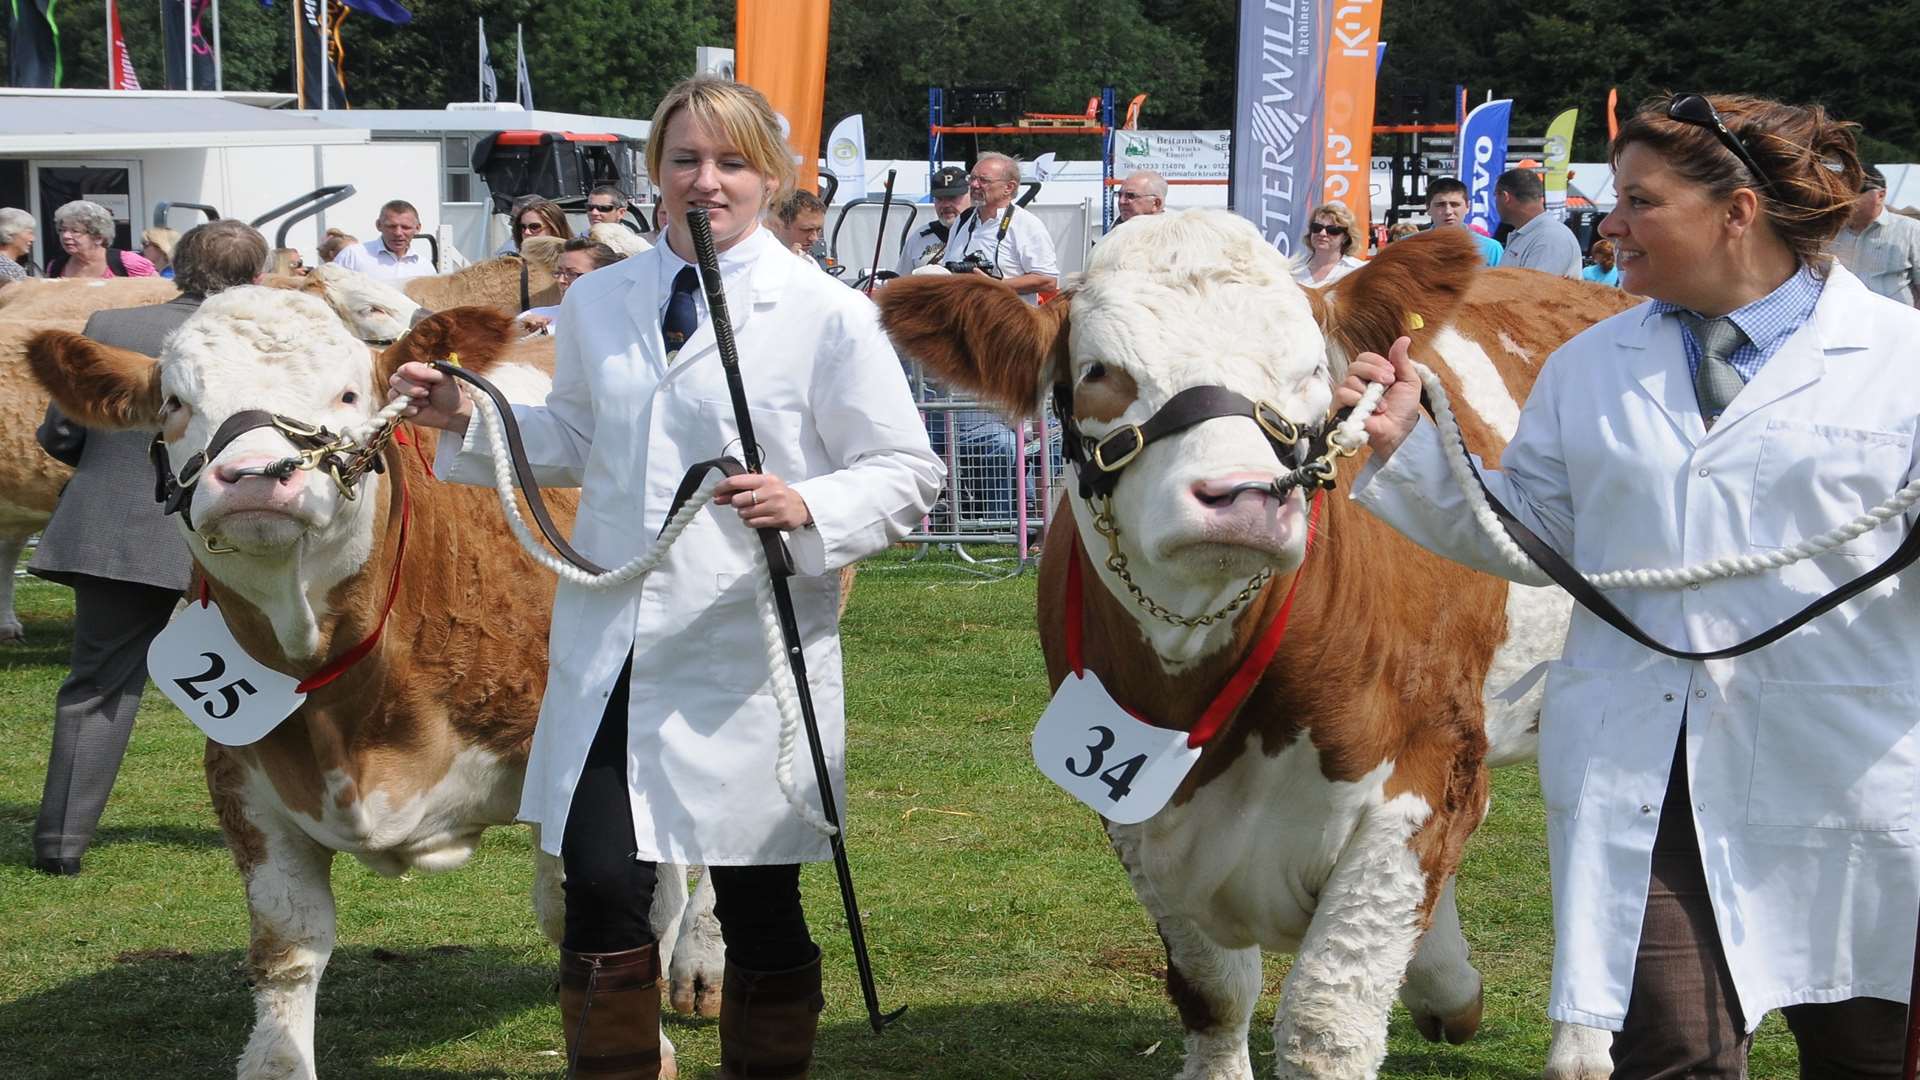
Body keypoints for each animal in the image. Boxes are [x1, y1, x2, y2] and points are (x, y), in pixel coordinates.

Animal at [28, 290, 721, 1068]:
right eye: (175, 403)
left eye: (349, 393)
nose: (254, 475)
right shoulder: (243, 781)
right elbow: (287, 947)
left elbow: (602, 906)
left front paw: (644, 1035)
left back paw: (700, 965)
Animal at [879, 212, 1628, 1076]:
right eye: (1100, 371)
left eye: (1313, 373)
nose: (1241, 496)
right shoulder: (1134, 808)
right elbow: (1215, 991)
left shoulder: (1426, 763)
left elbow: (1328, 1019)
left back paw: (1576, 1046)